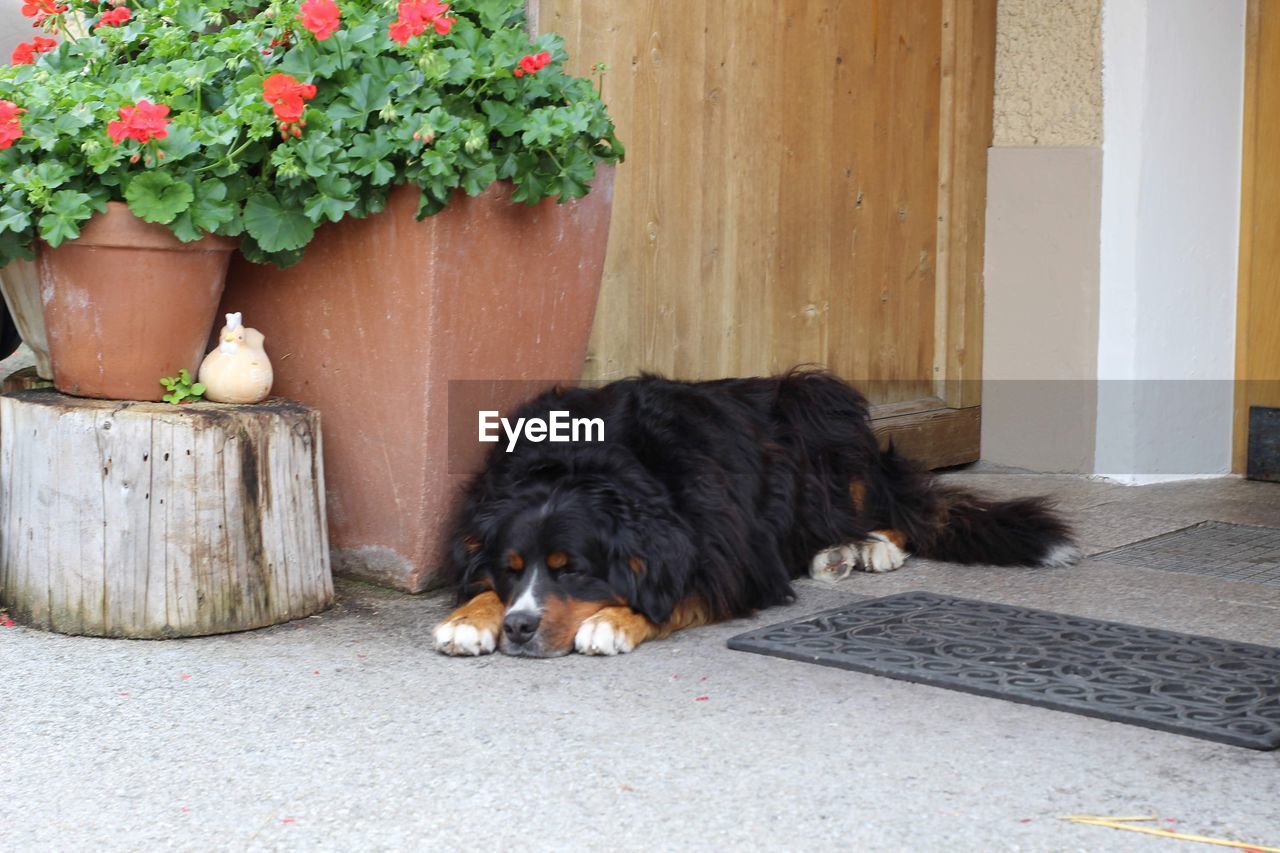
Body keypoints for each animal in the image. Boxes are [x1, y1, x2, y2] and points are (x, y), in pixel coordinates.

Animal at [435, 368, 1075, 653]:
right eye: (513, 568)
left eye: (572, 569)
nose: (520, 628)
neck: (584, 463)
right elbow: (478, 583)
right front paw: (471, 616)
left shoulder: (735, 561)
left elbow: (678, 595)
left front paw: (614, 622)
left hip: (818, 405)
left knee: (896, 509)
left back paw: (870, 546)